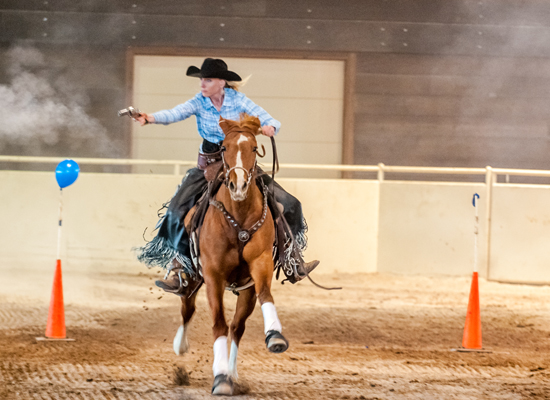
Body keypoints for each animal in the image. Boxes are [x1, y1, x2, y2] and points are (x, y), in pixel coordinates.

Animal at [176, 114, 288, 396]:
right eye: (224, 147)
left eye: (254, 147)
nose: (238, 185)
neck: (238, 218)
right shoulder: (213, 276)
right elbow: (218, 323)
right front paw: (220, 377)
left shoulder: (260, 264)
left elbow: (265, 296)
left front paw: (275, 336)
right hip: (192, 279)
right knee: (187, 309)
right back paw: (181, 346)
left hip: (245, 291)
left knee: (237, 327)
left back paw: (234, 372)